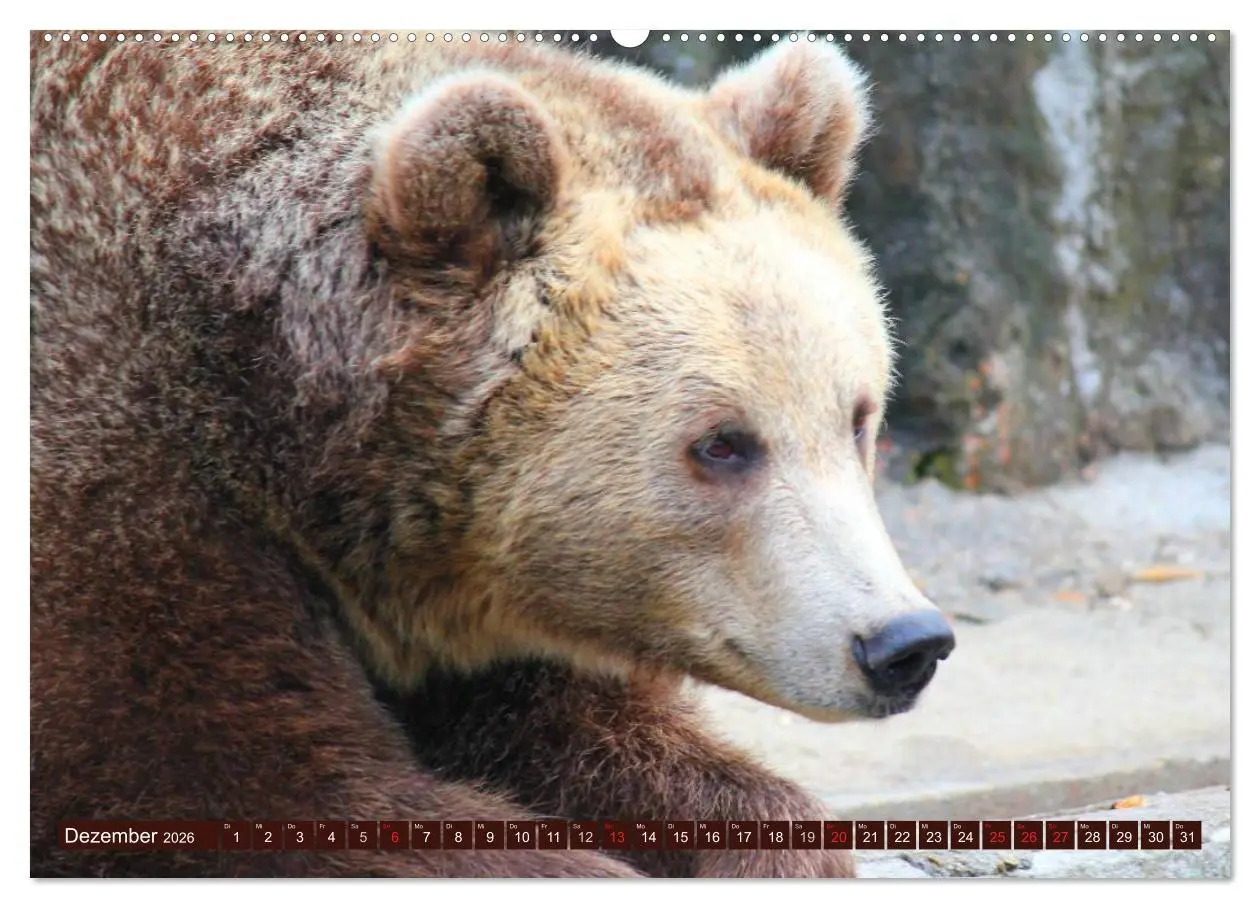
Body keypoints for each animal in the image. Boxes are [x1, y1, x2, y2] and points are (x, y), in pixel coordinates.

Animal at [30, 33, 955, 878]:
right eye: (722, 443)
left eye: (857, 416)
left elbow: (573, 732)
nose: (904, 642)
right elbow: (227, 780)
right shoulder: (119, 457)